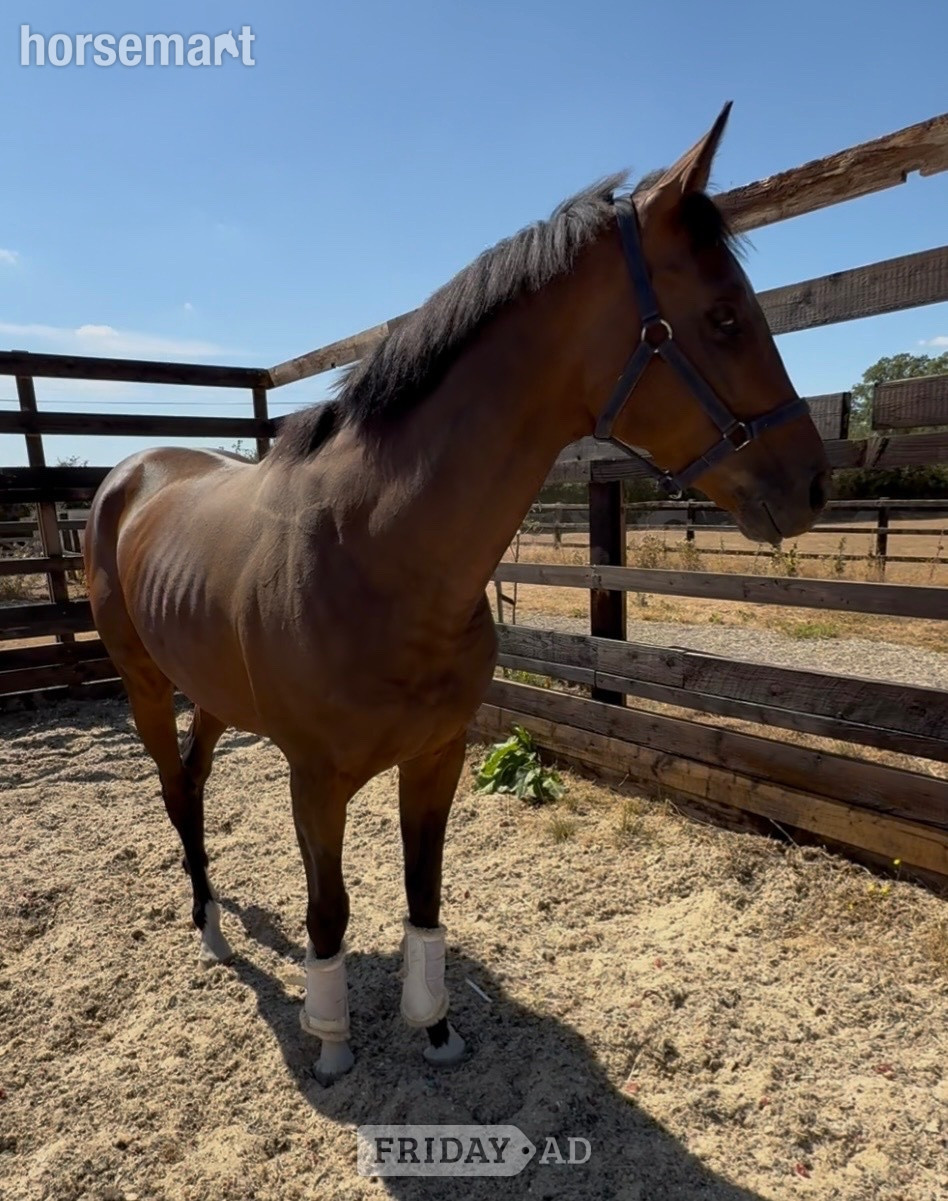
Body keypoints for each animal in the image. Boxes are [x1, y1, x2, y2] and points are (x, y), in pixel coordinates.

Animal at [84, 104, 829, 1084]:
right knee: (175, 788)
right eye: (723, 316)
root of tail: (129, 470)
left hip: (209, 691)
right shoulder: (314, 780)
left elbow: (424, 892)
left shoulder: (436, 757)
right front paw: (333, 1043)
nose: (814, 482)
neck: (375, 556)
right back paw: (207, 920)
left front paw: (434, 1027)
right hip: (144, 684)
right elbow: (330, 909)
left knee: (198, 776)